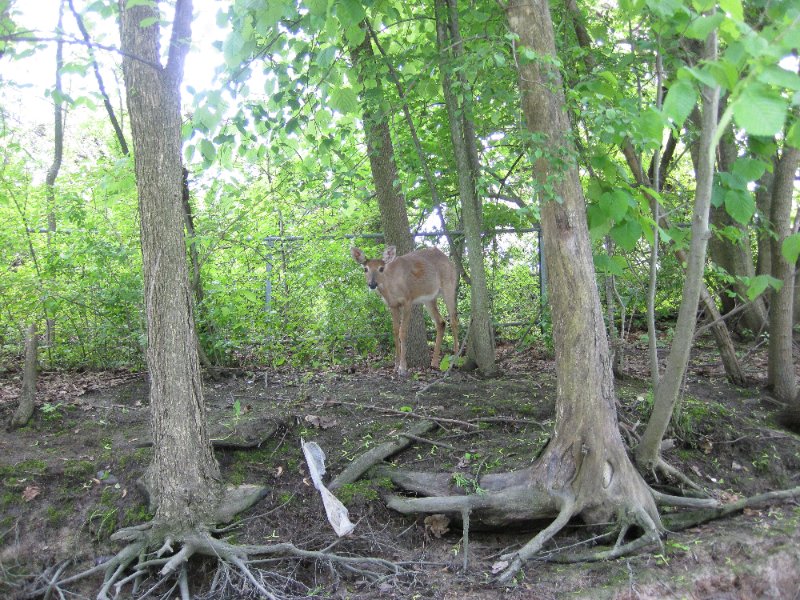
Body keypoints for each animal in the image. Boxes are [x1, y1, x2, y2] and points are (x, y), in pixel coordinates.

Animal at [350, 245, 459, 376]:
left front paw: (402, 368)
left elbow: (403, 332)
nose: (372, 284)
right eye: (365, 269)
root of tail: (449, 261)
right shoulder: (392, 305)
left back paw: (455, 358)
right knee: (441, 322)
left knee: (454, 320)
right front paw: (396, 365)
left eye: (381, 268)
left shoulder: (407, 301)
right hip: (429, 298)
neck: (391, 288)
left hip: (449, 286)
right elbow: (395, 331)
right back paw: (434, 363)